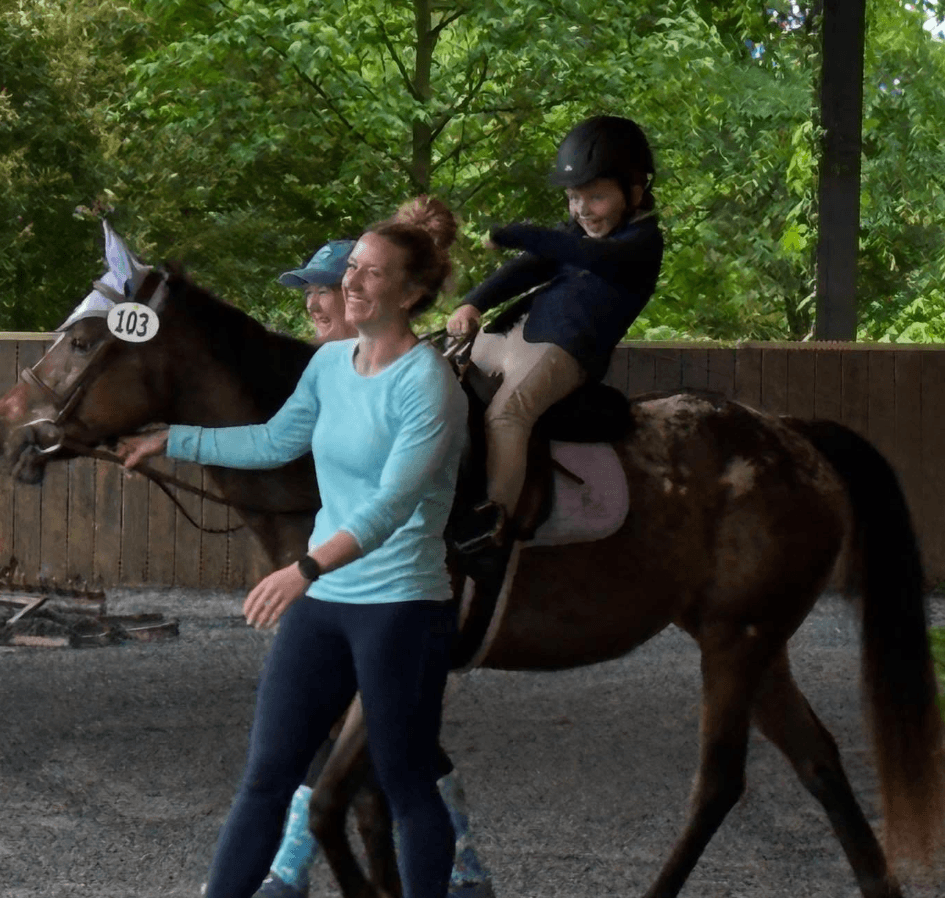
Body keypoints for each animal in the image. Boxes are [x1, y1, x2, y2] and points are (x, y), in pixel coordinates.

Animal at [1, 257, 943, 898]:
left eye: (82, 341)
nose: (14, 422)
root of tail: (793, 436)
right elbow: (370, 800)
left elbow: (342, 800)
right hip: (751, 640)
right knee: (817, 761)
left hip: (734, 643)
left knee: (720, 783)